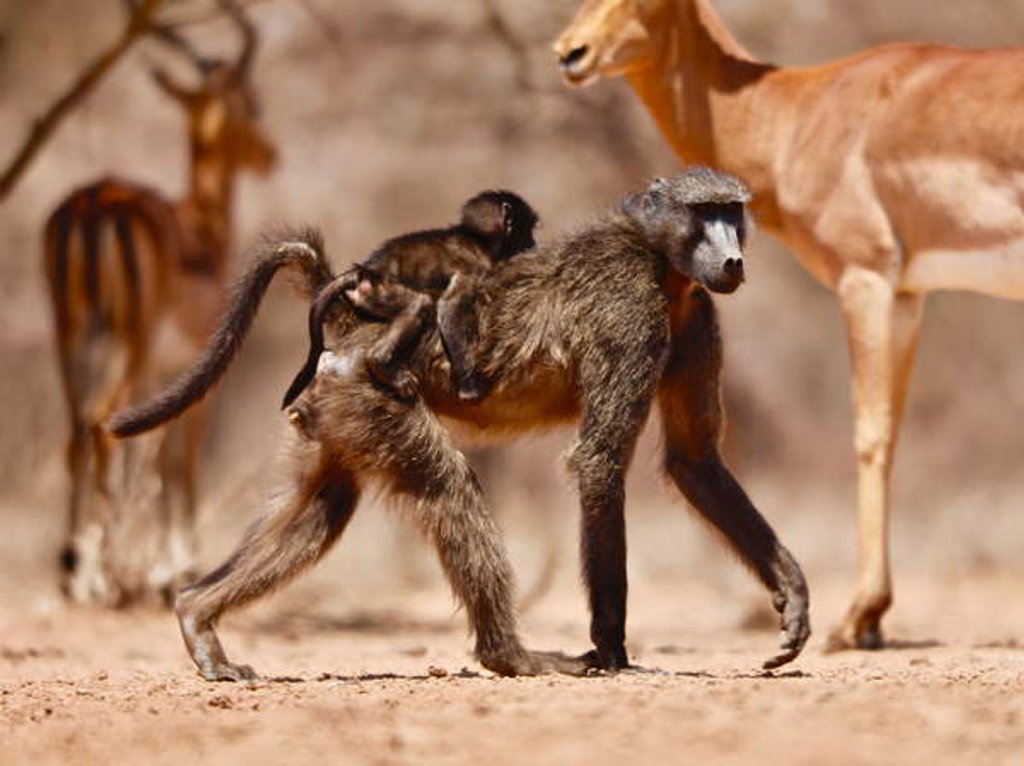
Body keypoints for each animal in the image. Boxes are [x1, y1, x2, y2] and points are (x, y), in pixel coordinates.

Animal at [44, 0, 276, 605]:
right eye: (251, 101)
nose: (270, 155)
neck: (201, 228)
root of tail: (93, 204)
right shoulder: (191, 369)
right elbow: (181, 461)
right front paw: (179, 568)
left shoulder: (160, 375)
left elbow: (158, 456)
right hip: (128, 342)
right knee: (100, 424)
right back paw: (97, 578)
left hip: (69, 332)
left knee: (75, 431)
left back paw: (72, 571)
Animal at [555, 0, 1024, 650]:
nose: (571, 52)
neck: (797, 114)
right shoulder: (908, 295)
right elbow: (891, 432)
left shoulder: (865, 280)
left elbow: (870, 435)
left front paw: (858, 618)